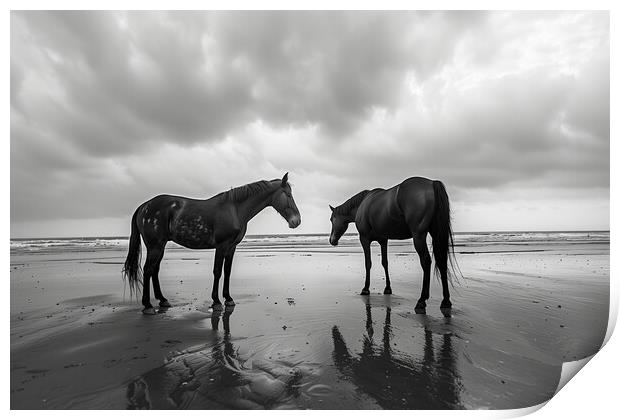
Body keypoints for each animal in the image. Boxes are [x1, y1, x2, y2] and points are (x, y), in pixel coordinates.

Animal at [122, 172, 302, 314]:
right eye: (288, 195)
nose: (297, 221)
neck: (234, 209)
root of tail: (144, 206)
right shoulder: (221, 246)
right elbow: (217, 271)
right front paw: (216, 301)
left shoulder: (231, 247)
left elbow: (227, 271)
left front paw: (228, 298)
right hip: (155, 246)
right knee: (148, 270)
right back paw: (148, 305)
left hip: (160, 246)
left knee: (154, 270)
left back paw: (163, 300)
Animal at [330, 176, 456, 312]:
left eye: (331, 219)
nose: (331, 240)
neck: (362, 205)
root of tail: (432, 183)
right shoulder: (383, 240)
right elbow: (385, 263)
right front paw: (388, 288)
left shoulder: (364, 239)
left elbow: (368, 263)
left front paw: (366, 289)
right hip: (436, 233)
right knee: (442, 261)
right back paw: (446, 301)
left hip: (419, 236)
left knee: (426, 261)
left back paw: (422, 300)